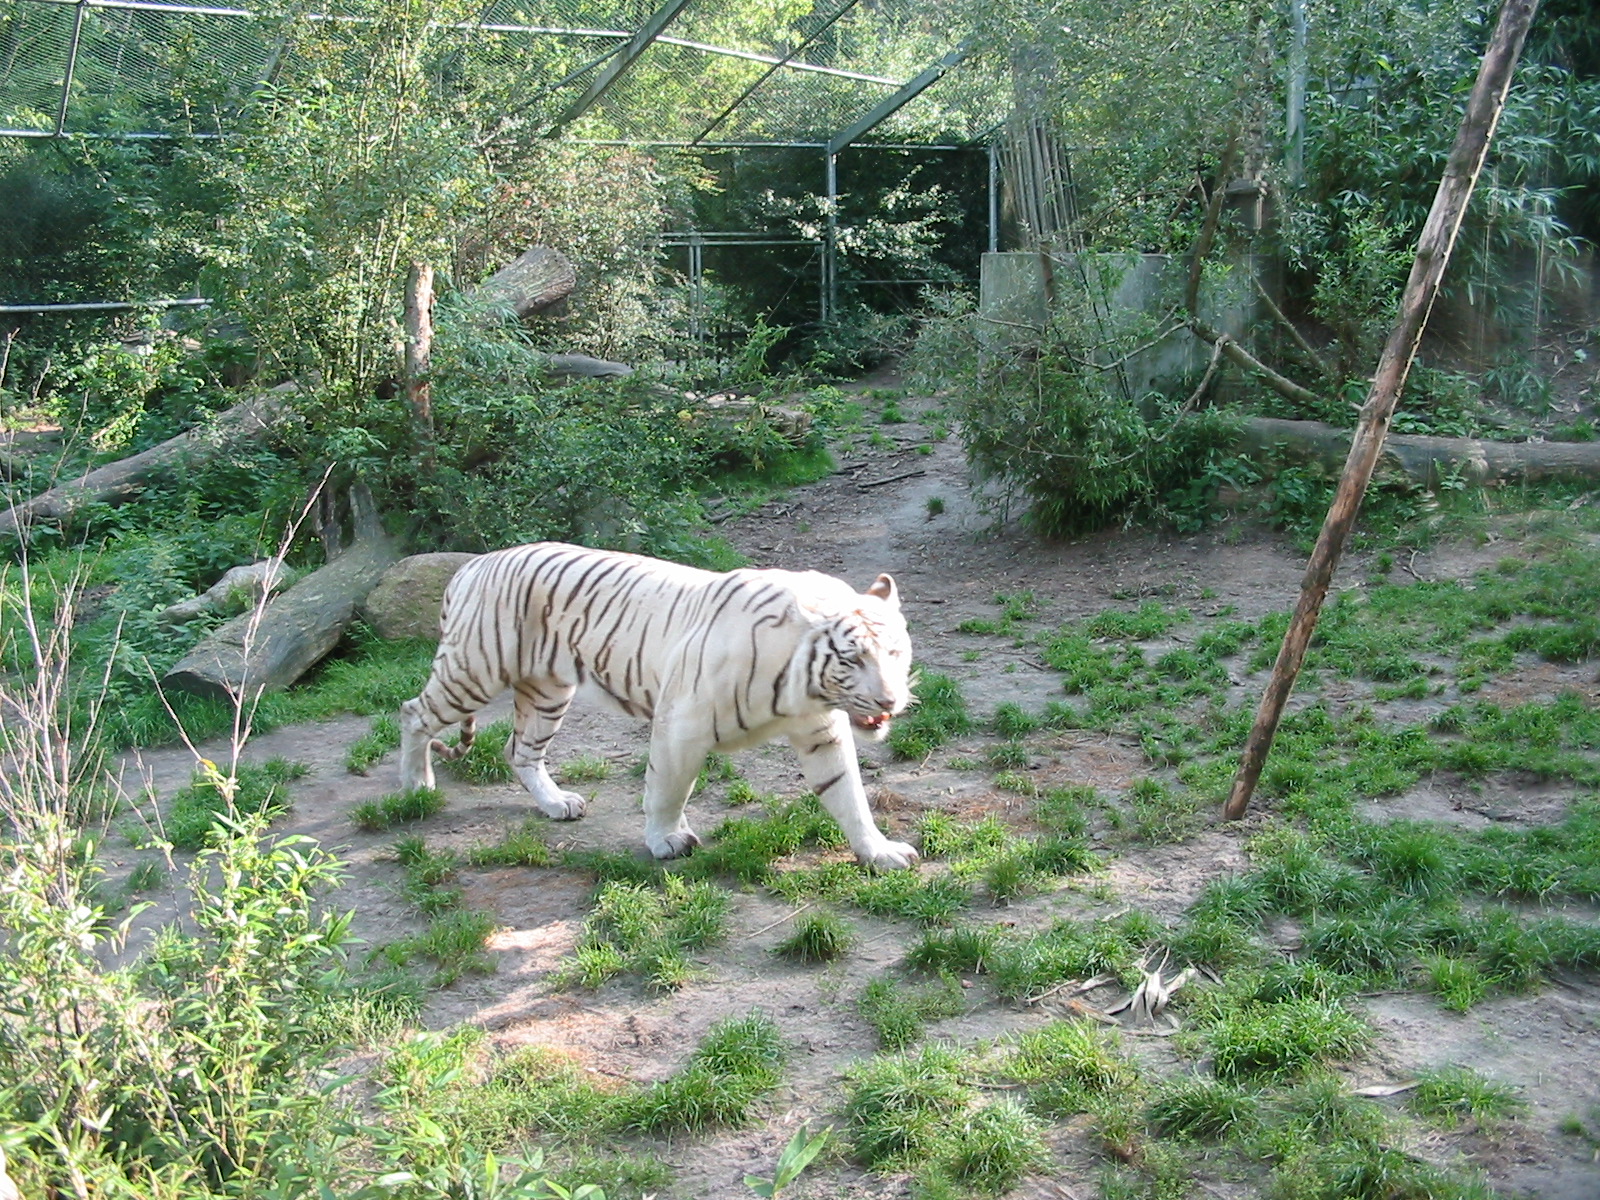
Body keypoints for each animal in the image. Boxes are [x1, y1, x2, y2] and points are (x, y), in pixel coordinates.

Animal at [398, 542, 920, 870]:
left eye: (895, 653)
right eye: (852, 659)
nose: (889, 701)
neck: (804, 687)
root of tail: (471, 566)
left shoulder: (820, 733)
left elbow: (848, 796)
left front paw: (880, 852)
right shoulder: (681, 725)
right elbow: (668, 791)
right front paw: (666, 840)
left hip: (547, 692)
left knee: (519, 751)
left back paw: (556, 803)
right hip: (474, 670)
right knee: (413, 713)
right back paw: (417, 786)